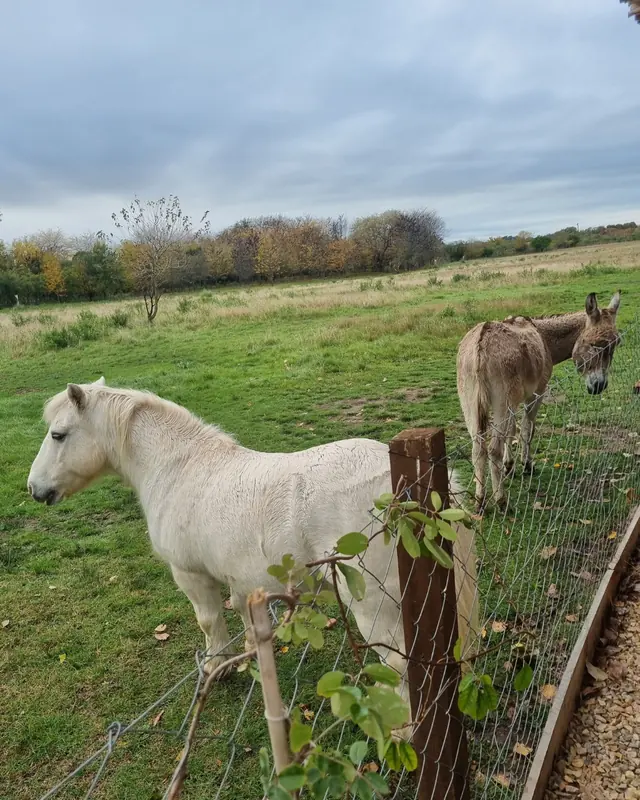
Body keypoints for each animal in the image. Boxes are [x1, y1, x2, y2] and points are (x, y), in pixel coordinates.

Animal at [27, 379, 480, 718]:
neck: (178, 468)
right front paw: (245, 660)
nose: (34, 489)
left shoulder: (192, 577)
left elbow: (210, 623)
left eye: (58, 434)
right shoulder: (241, 580)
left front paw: (215, 668)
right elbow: (244, 619)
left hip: (375, 607)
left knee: (398, 666)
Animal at [457, 291, 621, 511]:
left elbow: (512, 431)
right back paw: (501, 501)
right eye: (595, 345)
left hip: (470, 402)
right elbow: (527, 429)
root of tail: (480, 346)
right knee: (492, 449)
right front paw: (527, 465)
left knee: (477, 448)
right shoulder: (537, 393)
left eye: (616, 344)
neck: (544, 338)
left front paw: (509, 467)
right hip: (500, 402)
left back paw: (480, 500)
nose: (599, 387)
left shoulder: (514, 402)